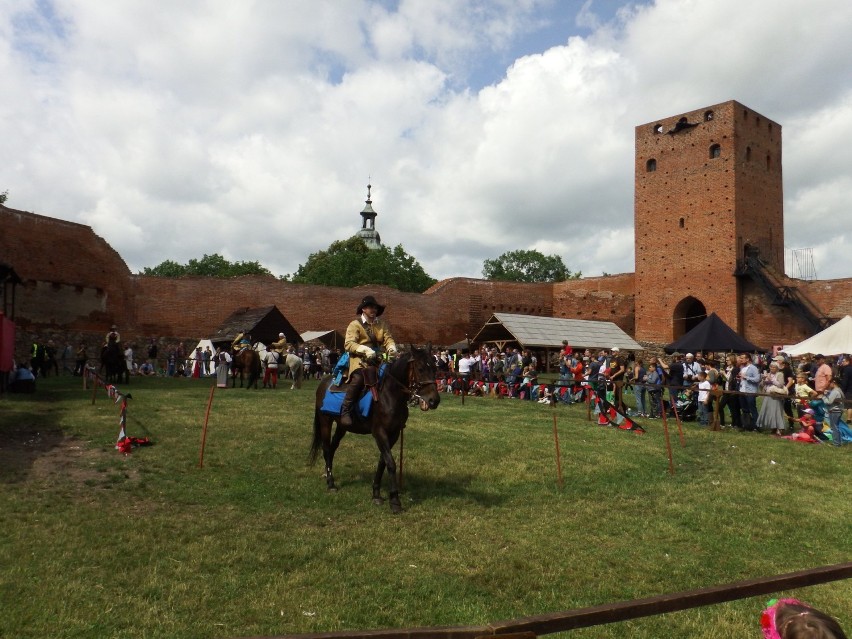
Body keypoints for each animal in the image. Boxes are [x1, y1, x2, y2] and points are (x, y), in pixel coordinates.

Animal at [308, 344, 440, 516]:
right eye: (420, 368)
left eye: (435, 368)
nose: (434, 400)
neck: (391, 394)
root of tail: (324, 382)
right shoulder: (380, 433)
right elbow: (391, 463)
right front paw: (395, 501)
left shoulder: (393, 434)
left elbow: (382, 462)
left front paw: (376, 493)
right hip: (325, 422)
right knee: (325, 449)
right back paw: (331, 483)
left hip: (342, 426)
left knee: (332, 448)